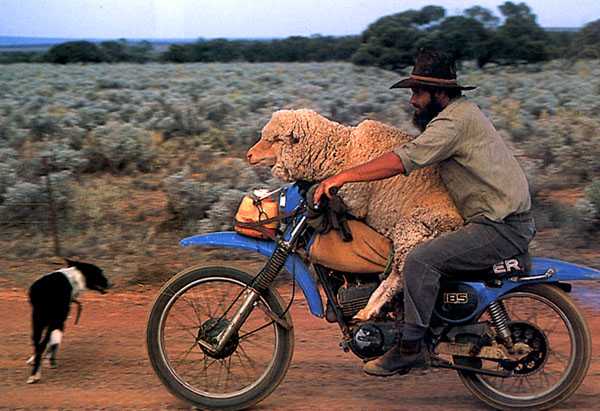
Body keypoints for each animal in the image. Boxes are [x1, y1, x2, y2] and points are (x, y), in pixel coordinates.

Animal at [246, 109, 462, 322]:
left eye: (275, 139)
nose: (249, 155)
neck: (345, 151)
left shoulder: (355, 203)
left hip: (413, 230)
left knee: (399, 274)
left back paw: (368, 310)